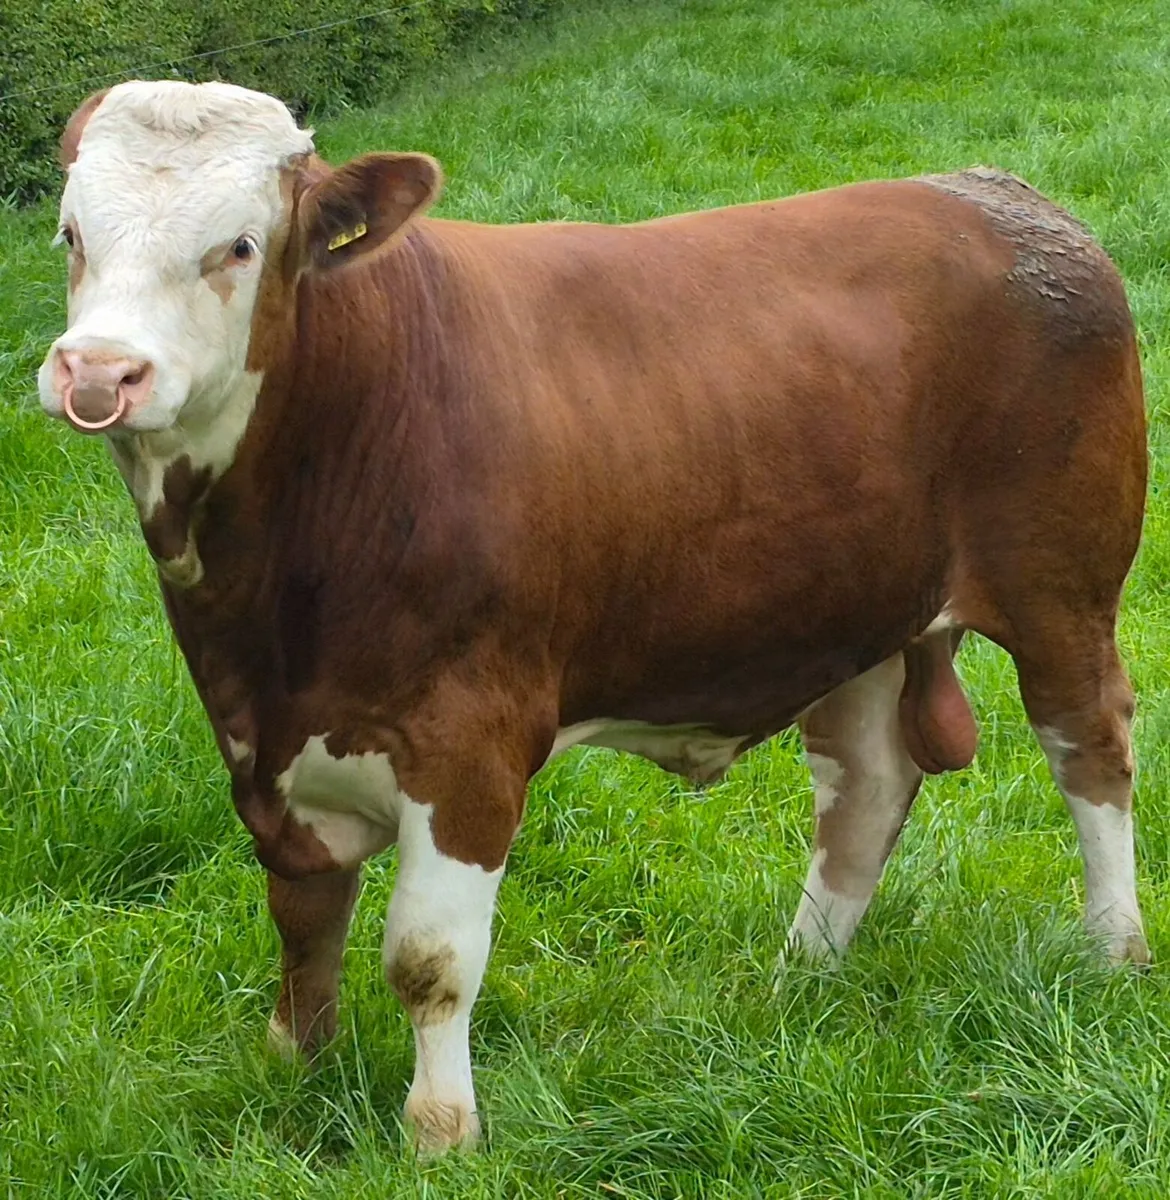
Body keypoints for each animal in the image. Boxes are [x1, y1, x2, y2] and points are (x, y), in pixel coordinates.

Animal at [37, 80, 1148, 1154]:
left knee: (1088, 747)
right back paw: (801, 977)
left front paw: (440, 1132)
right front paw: (294, 1068)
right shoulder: (262, 744)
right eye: (70, 234)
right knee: (868, 786)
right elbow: (302, 916)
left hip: (1060, 584)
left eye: (238, 245)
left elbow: (429, 959)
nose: (98, 371)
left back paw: (1113, 951)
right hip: (856, 609)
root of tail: (995, 194)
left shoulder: (467, 744)